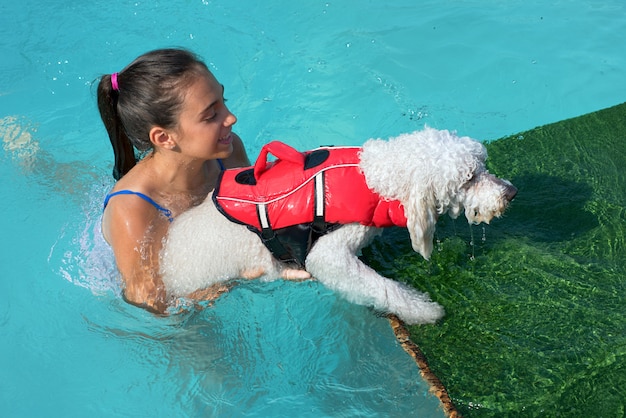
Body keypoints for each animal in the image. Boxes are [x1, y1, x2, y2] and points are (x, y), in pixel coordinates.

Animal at [158, 127, 516, 324]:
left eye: (483, 165)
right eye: (469, 178)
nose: (510, 193)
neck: (373, 177)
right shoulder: (327, 252)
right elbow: (379, 286)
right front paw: (422, 310)